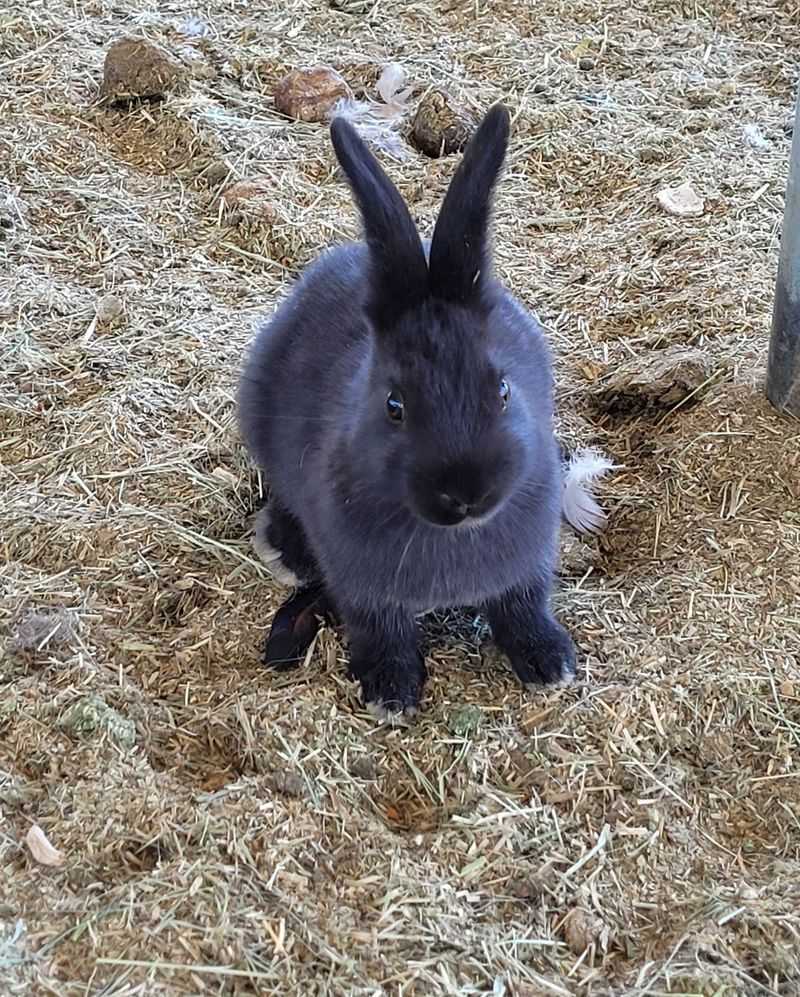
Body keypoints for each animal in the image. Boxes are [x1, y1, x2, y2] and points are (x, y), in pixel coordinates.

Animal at [238, 103, 577, 717]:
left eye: (503, 390)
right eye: (394, 405)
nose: (466, 494)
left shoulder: (529, 563)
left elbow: (524, 606)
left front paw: (550, 662)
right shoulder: (362, 585)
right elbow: (380, 628)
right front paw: (390, 691)